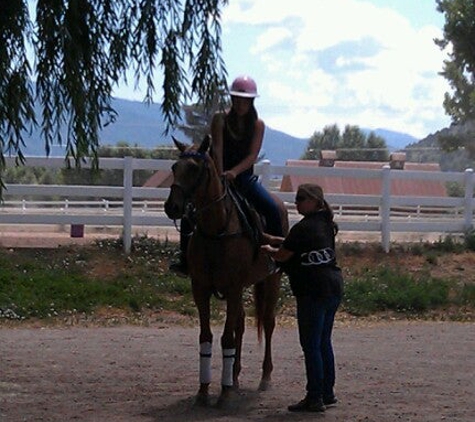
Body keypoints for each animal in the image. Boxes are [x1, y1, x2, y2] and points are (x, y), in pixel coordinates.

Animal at [165, 135, 288, 406]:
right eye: (174, 167)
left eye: (194, 168)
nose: (172, 207)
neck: (216, 229)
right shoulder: (200, 289)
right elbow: (207, 337)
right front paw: (204, 391)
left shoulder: (233, 289)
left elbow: (227, 337)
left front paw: (225, 393)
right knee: (240, 324)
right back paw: (235, 376)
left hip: (271, 281)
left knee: (268, 322)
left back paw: (265, 378)